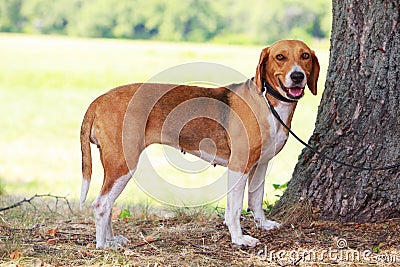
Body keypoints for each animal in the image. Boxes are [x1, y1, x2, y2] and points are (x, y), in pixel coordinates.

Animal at [80, 39, 318, 249]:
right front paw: (239, 239)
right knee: (101, 204)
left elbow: (255, 199)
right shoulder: (239, 166)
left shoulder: (261, 164)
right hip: (122, 164)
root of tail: (99, 100)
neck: (268, 101)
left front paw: (263, 224)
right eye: (280, 57)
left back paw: (112, 240)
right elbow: (234, 209)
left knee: (108, 204)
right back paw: (103, 245)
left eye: (305, 56)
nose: (297, 76)